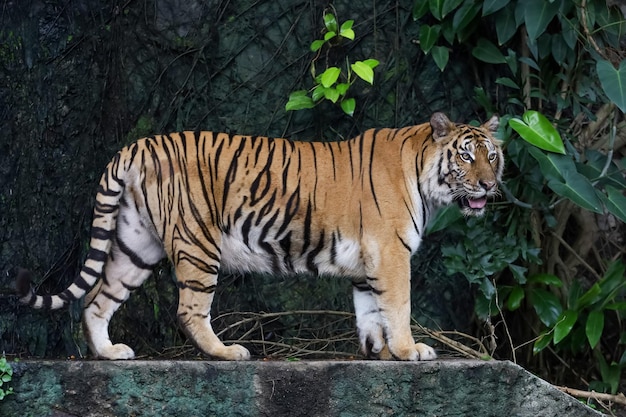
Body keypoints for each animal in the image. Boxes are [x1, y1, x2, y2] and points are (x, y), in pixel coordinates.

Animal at [15, 112, 502, 360]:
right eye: (466, 156)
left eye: (492, 156)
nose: (488, 184)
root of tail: (136, 146)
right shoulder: (389, 252)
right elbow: (397, 306)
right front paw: (408, 350)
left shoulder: (367, 262)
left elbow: (369, 311)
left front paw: (378, 353)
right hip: (197, 243)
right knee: (189, 310)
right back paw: (228, 353)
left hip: (136, 245)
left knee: (97, 299)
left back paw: (109, 353)